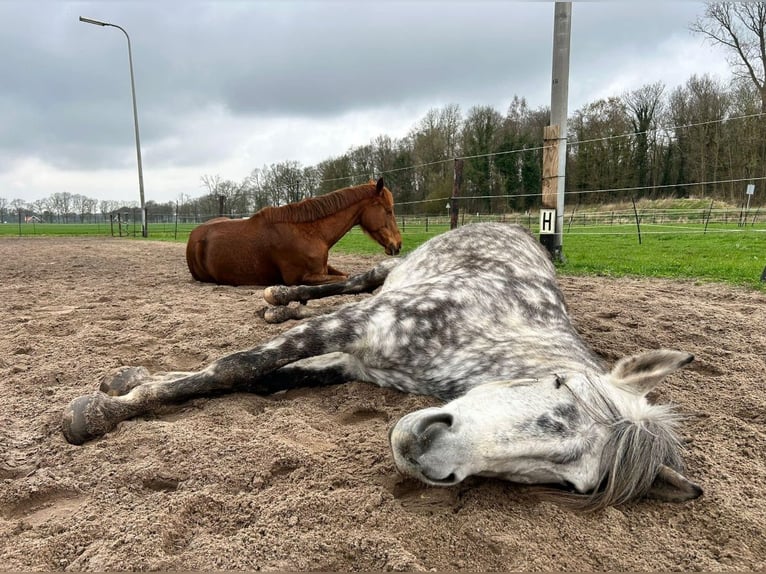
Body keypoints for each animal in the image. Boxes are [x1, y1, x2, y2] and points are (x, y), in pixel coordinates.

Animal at [63, 225, 704, 512]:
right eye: (559, 385)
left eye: (572, 485)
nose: (427, 452)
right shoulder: (358, 322)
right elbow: (234, 365)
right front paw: (104, 406)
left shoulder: (351, 362)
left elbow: (261, 378)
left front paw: (129, 387)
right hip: (384, 277)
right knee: (352, 278)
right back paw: (277, 297)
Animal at [187, 179, 404, 286]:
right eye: (389, 211)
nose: (398, 245)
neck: (309, 233)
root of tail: (195, 235)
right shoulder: (302, 278)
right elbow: (346, 279)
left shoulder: (323, 269)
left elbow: (347, 274)